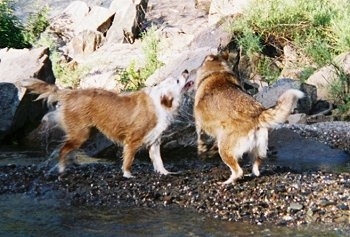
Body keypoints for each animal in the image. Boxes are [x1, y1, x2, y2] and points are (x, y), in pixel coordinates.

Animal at [22, 72, 191, 178]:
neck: (161, 102)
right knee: (63, 150)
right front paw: (127, 174)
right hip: (81, 134)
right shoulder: (132, 140)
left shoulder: (155, 140)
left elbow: (158, 160)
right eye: (177, 81)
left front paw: (165, 172)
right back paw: (62, 168)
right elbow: (128, 160)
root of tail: (70, 93)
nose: (186, 71)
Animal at [194, 52, 304, 184]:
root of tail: (257, 113)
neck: (217, 72)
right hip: (258, 148)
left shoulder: (200, 125)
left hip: (225, 149)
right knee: (256, 165)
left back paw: (227, 182)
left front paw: (201, 150)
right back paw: (252, 173)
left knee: (238, 171)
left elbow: (201, 139)